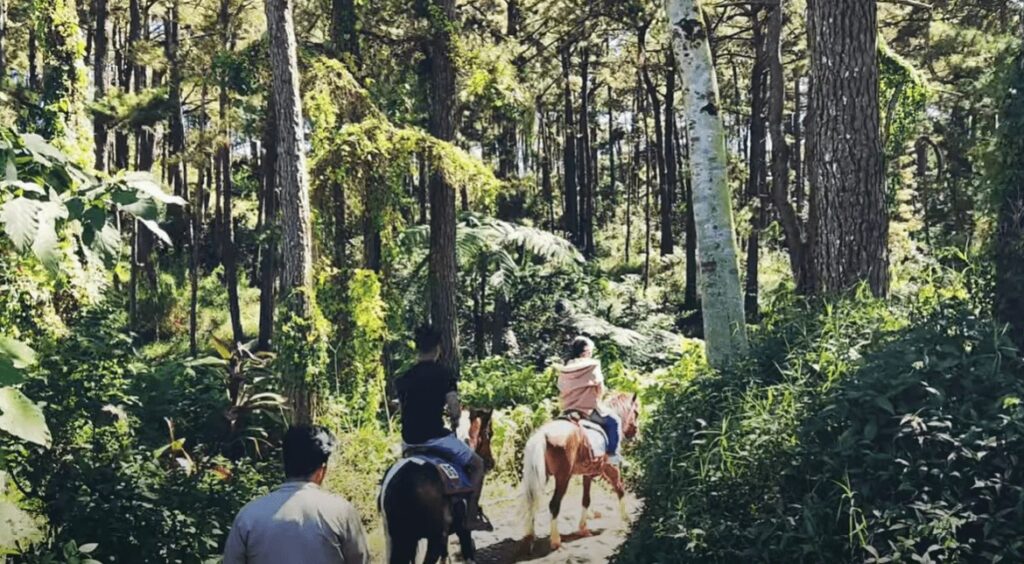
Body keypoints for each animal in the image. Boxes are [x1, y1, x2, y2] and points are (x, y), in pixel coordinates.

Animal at [385, 411, 495, 564]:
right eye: (489, 433)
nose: (490, 462)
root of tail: (402, 483)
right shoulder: (463, 531)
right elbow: (468, 553)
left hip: (400, 539)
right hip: (433, 538)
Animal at [520, 395, 638, 548]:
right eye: (636, 413)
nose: (634, 433)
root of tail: (543, 435)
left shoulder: (588, 474)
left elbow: (586, 499)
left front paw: (583, 528)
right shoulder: (610, 469)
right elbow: (620, 489)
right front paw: (626, 518)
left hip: (541, 476)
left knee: (532, 501)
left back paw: (530, 536)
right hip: (563, 478)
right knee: (553, 504)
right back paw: (555, 540)